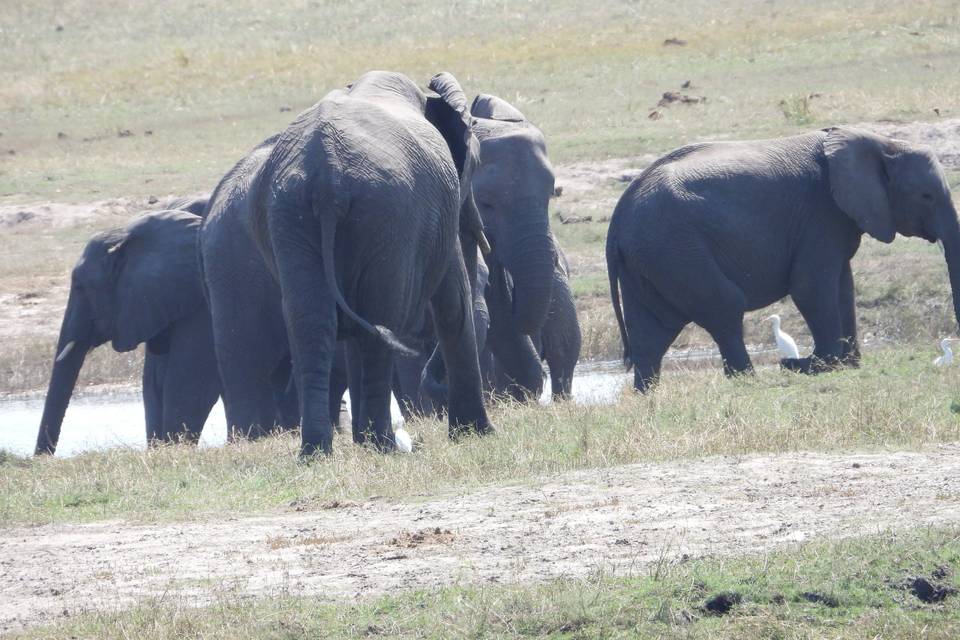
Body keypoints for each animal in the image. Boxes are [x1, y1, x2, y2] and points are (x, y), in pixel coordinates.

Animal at [34, 210, 220, 456]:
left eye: (79, 288)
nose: (40, 460)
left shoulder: (201, 306)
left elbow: (188, 379)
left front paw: (173, 450)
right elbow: (154, 381)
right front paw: (158, 451)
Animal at [253, 71, 492, 456]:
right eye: (477, 164)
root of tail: (327, 176)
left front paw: (360, 442)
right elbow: (454, 302)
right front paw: (479, 434)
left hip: (288, 214)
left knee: (311, 320)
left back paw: (317, 451)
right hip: (387, 216)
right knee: (381, 319)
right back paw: (385, 445)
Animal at [608, 122, 960, 388]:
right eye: (926, 196)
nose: (791, 362)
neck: (881, 142)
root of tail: (618, 217)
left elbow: (843, 286)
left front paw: (849, 365)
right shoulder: (820, 213)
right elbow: (810, 288)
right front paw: (822, 367)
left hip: (651, 258)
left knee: (650, 332)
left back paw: (647, 394)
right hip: (675, 249)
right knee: (724, 306)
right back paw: (750, 379)